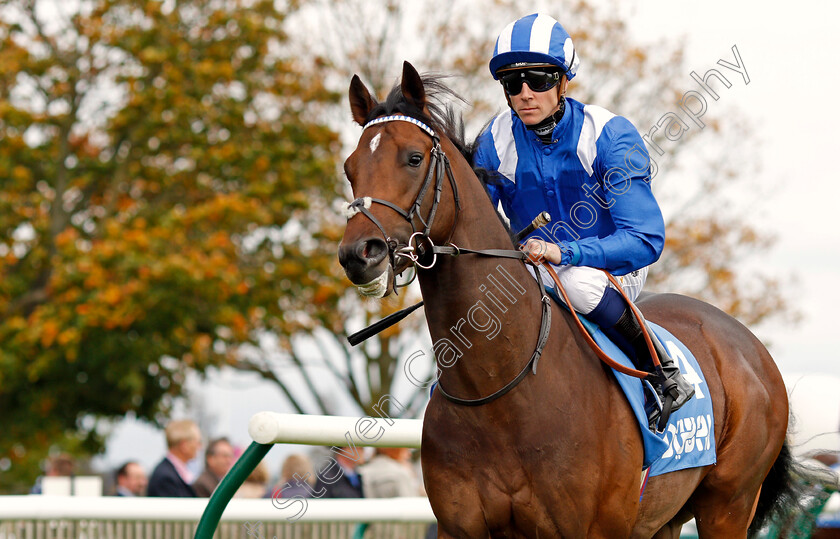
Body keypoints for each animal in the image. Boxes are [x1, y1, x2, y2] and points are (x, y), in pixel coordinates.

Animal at [336, 61, 796, 536]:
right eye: (350, 167)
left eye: (413, 158)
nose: (359, 253)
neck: (500, 390)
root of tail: (751, 346)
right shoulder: (457, 526)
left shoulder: (593, 528)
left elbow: (641, 235)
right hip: (663, 517)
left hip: (728, 504)